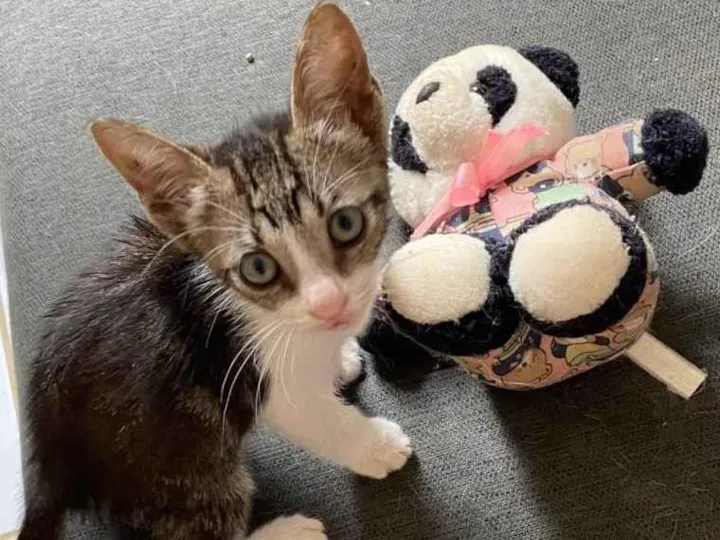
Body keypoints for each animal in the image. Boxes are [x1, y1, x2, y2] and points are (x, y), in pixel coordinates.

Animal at [19, 4, 411, 540]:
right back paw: (289, 530)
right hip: (180, 467)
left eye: (346, 223)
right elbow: (317, 417)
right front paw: (374, 446)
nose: (330, 305)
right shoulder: (255, 374)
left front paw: (339, 357)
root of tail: (48, 463)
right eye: (258, 267)